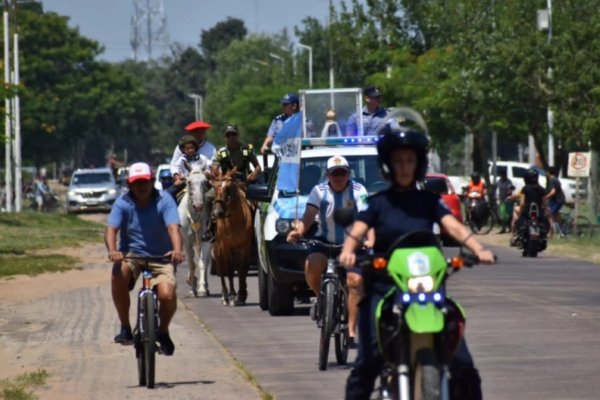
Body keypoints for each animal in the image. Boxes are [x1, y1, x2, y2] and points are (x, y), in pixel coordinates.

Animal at [178, 162, 213, 296]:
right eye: (189, 182)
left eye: (205, 182)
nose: (198, 206)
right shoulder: (187, 241)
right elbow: (191, 264)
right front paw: (193, 287)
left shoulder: (206, 240)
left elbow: (202, 263)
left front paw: (202, 288)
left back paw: (206, 287)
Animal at [211, 167, 253, 304]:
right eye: (214, 187)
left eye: (228, 188)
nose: (218, 213)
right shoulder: (225, 246)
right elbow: (229, 269)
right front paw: (233, 295)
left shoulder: (245, 246)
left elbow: (242, 269)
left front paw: (242, 293)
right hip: (218, 248)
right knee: (221, 267)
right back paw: (225, 295)